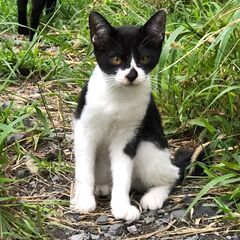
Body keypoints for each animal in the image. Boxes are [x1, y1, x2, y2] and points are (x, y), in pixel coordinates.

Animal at [70, 9, 190, 221]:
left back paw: (153, 196)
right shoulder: (84, 129)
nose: (132, 74)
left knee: (173, 175)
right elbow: (84, 170)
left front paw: (121, 207)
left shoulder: (128, 137)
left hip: (150, 147)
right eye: (116, 59)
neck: (117, 97)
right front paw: (84, 201)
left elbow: (122, 174)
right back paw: (102, 187)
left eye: (143, 58)